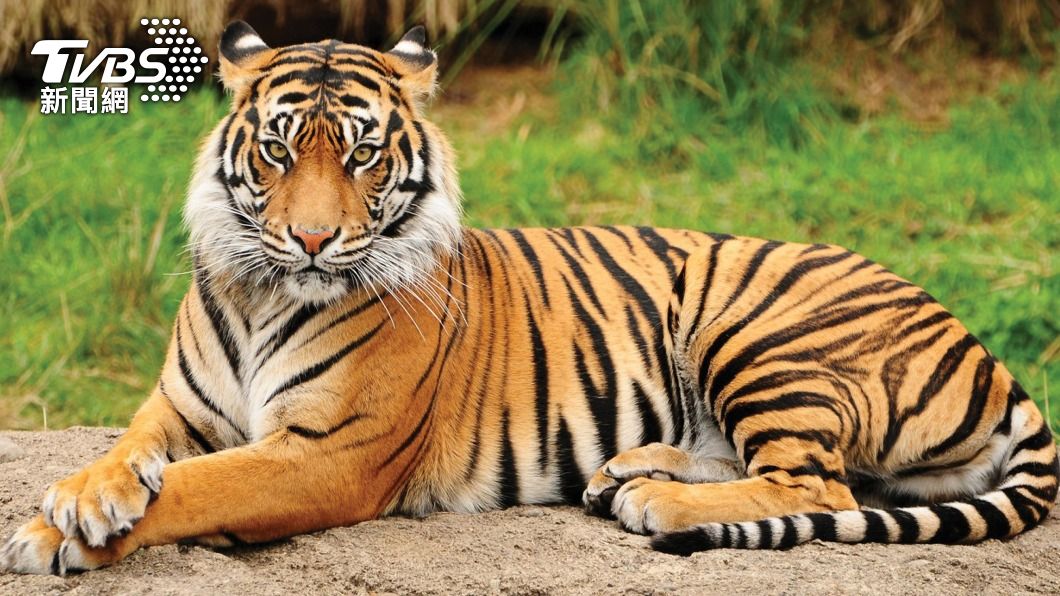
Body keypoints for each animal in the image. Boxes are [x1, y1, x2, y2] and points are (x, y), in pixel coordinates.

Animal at [2, 21, 1056, 575]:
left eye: (362, 155)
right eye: (276, 150)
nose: (311, 240)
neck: (266, 294)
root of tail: (986, 351)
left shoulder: (327, 454)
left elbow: (199, 487)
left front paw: (54, 534)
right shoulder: (178, 408)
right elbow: (129, 454)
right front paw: (82, 497)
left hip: (756, 327)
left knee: (819, 483)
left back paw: (658, 505)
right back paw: (630, 471)